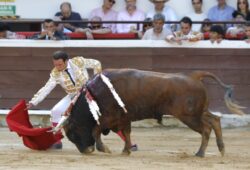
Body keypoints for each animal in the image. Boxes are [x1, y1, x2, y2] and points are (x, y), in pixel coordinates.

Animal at [62, 68, 244, 157]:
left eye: (72, 134)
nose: (86, 151)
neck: (95, 94)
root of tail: (194, 76)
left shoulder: (110, 117)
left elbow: (95, 130)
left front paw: (104, 148)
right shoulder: (124, 118)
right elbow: (126, 133)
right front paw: (126, 151)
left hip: (189, 116)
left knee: (206, 128)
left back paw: (200, 153)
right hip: (198, 112)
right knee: (215, 120)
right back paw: (221, 149)